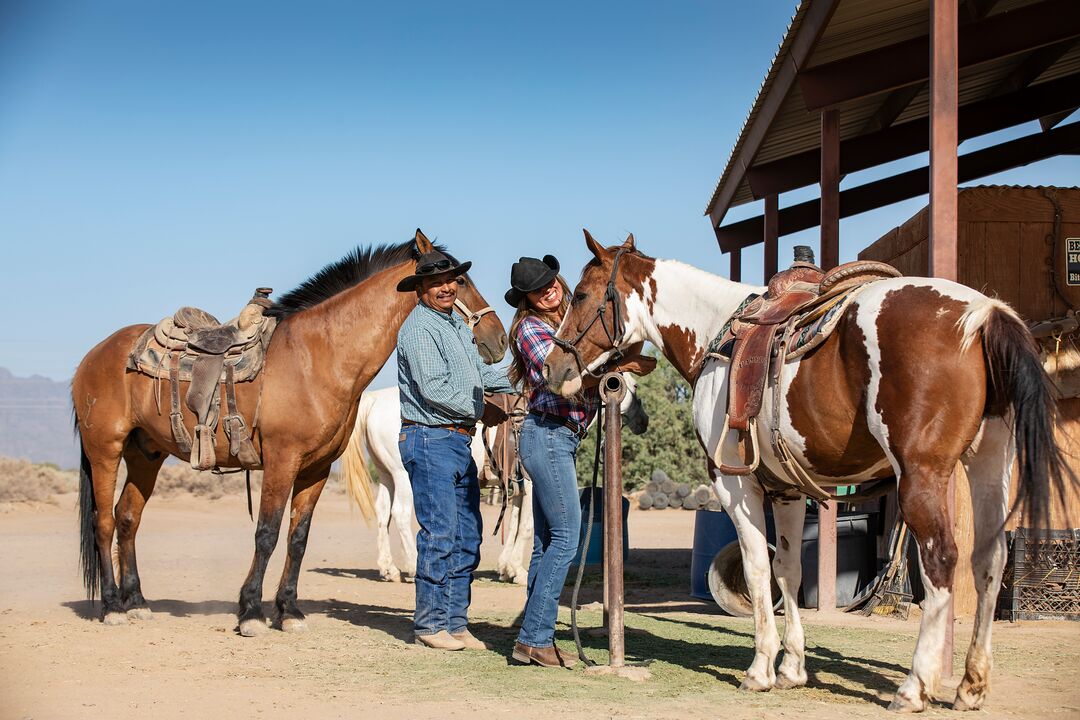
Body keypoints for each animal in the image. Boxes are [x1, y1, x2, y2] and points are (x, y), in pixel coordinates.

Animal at [544, 232, 1067, 716]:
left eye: (582, 295)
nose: (553, 366)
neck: (715, 329)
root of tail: (982, 311)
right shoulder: (788, 492)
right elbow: (789, 570)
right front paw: (793, 668)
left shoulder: (735, 485)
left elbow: (758, 568)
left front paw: (760, 669)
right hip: (989, 465)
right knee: (989, 561)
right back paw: (971, 685)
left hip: (923, 476)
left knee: (942, 561)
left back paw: (915, 687)